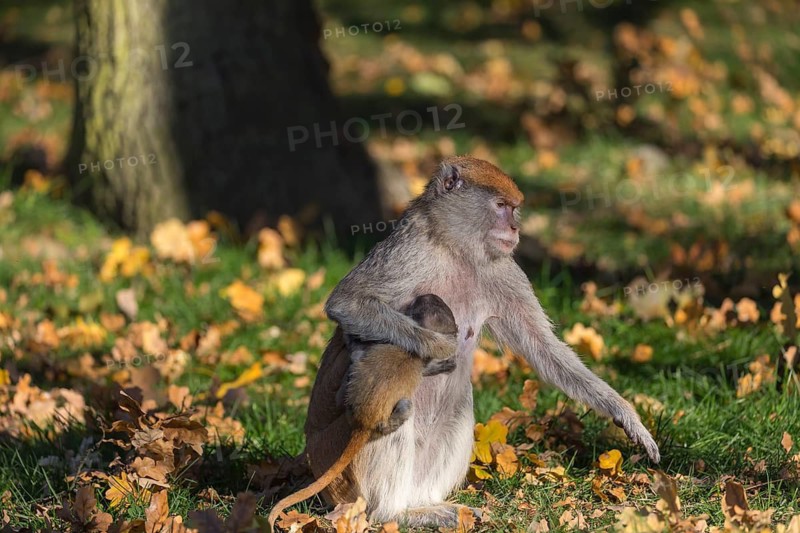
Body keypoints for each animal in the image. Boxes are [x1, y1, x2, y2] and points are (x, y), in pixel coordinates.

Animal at [302, 156, 661, 528]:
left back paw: (428, 506)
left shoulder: (502, 269)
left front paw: (626, 415)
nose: (515, 229)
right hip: (345, 468)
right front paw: (439, 349)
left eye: (515, 208)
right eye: (501, 206)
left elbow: (544, 348)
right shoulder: (408, 252)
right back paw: (395, 514)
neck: (455, 248)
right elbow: (348, 304)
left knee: (460, 402)